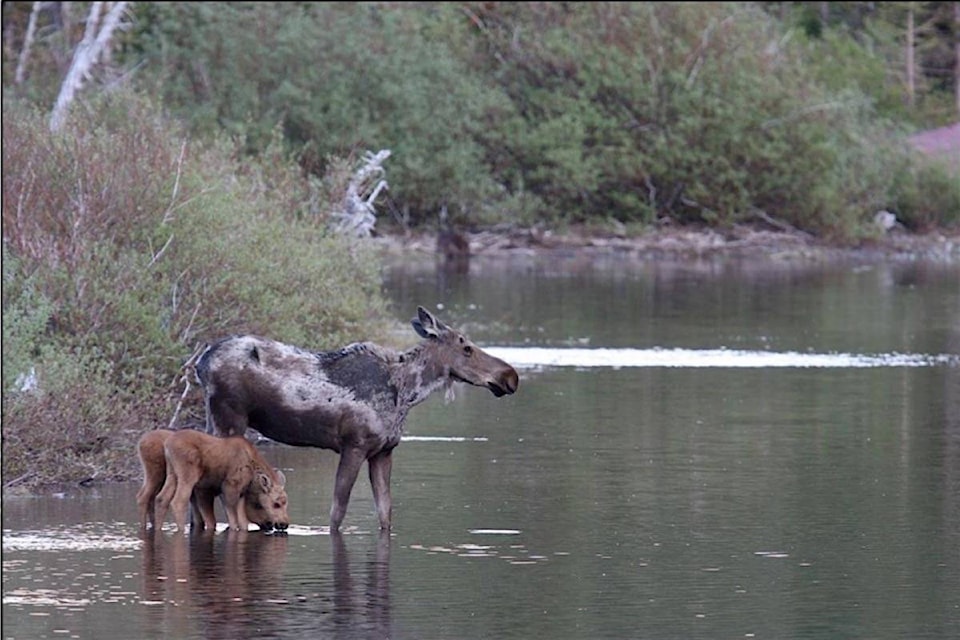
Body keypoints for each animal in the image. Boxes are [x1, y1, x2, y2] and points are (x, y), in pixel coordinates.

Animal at [195, 304, 520, 528]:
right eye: (466, 347)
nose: (510, 376)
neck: (406, 393)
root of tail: (201, 362)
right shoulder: (354, 445)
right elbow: (337, 513)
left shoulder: (384, 451)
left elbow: (386, 512)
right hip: (230, 419)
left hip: (214, 420)